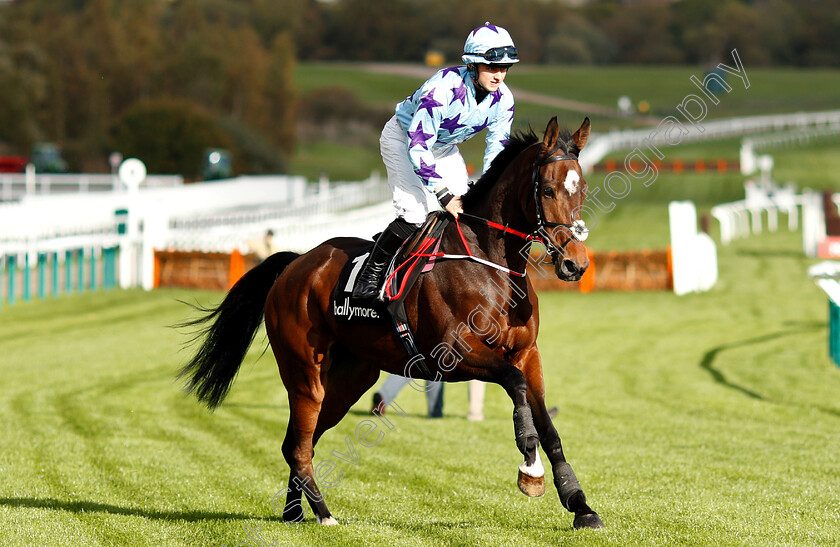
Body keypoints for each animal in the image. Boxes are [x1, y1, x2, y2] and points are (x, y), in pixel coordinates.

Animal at [182, 116, 604, 532]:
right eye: (547, 190)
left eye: (582, 188)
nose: (576, 263)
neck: (491, 264)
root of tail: (295, 263)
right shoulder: (456, 355)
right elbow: (517, 390)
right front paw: (530, 469)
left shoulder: (527, 353)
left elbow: (548, 425)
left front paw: (579, 504)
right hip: (304, 372)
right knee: (298, 444)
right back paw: (323, 513)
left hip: (350, 378)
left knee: (302, 440)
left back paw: (294, 511)